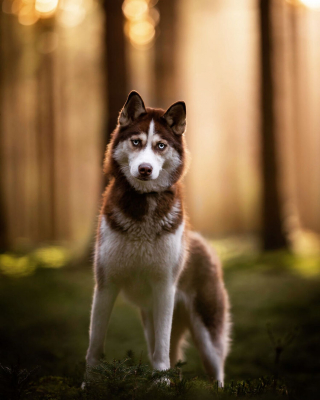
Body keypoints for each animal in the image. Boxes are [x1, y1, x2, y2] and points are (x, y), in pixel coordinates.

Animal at [85, 92, 230, 386]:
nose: (145, 169)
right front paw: (88, 383)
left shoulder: (164, 287)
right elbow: (95, 343)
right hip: (149, 317)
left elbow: (161, 349)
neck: (143, 209)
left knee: (217, 371)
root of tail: (205, 245)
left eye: (160, 145)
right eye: (136, 142)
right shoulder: (105, 284)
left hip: (208, 337)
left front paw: (162, 383)